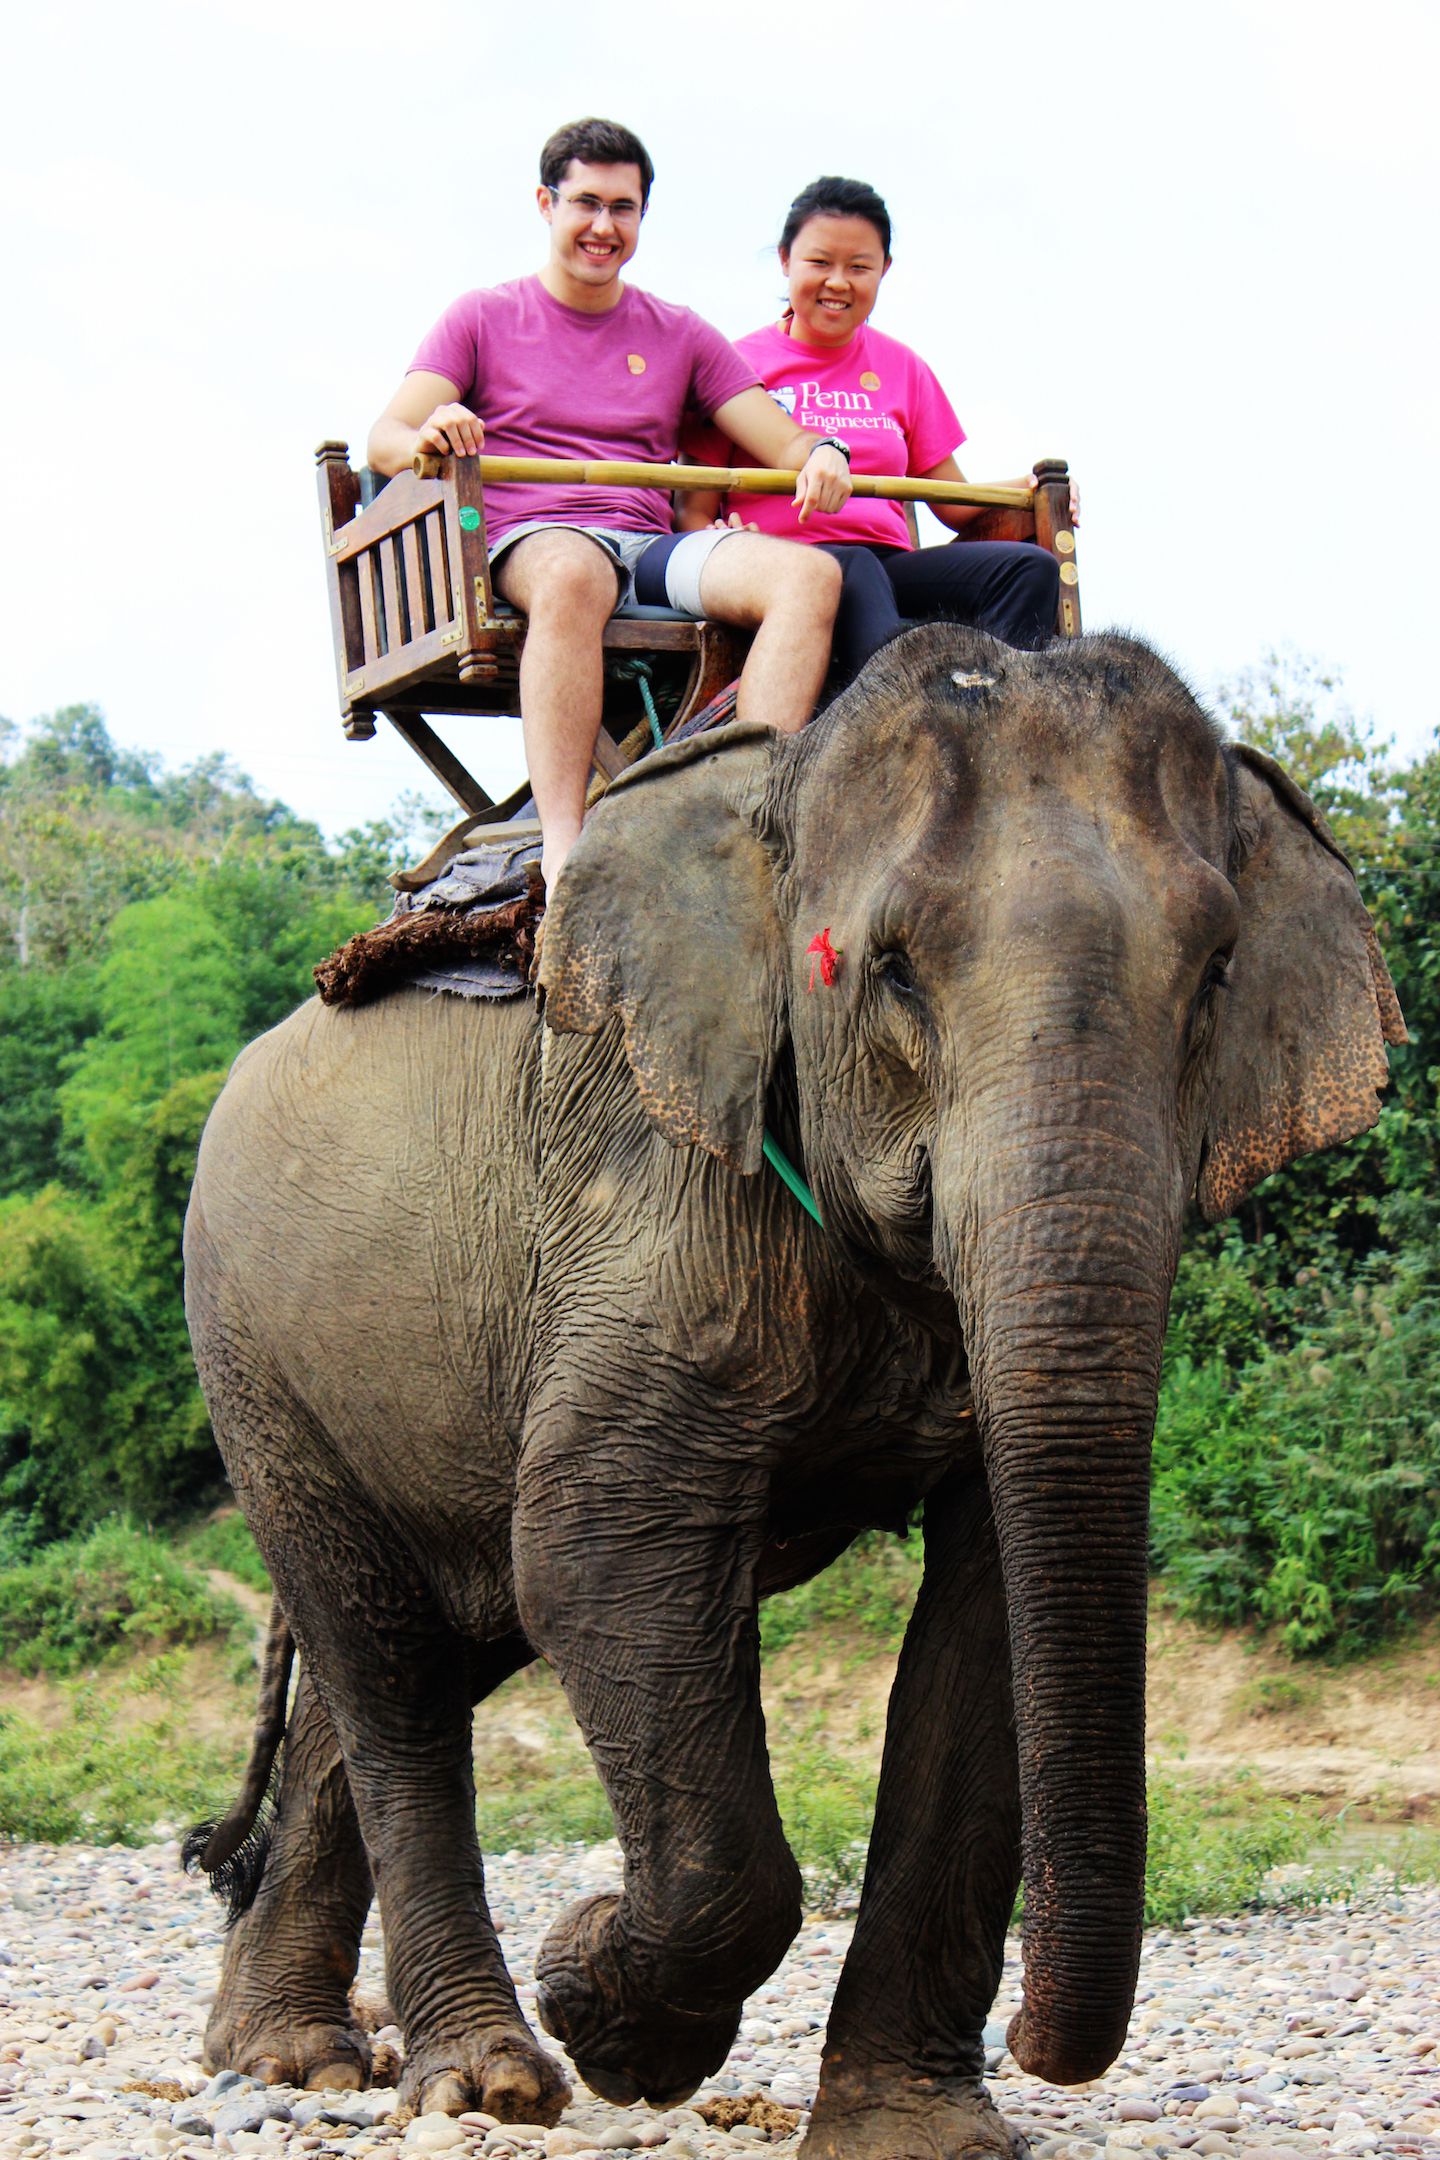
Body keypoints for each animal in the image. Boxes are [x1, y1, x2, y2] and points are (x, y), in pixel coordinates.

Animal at [182, 628, 1403, 2160]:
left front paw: (915, 2133)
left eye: (1221, 970)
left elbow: (983, 1616)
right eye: (890, 971)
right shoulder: (656, 1188)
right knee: (387, 1660)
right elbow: (597, 1546)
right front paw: (608, 2014)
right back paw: (484, 2082)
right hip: (254, 1356)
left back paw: (289, 2055)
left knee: (421, 1652)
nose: (1037, 2041)